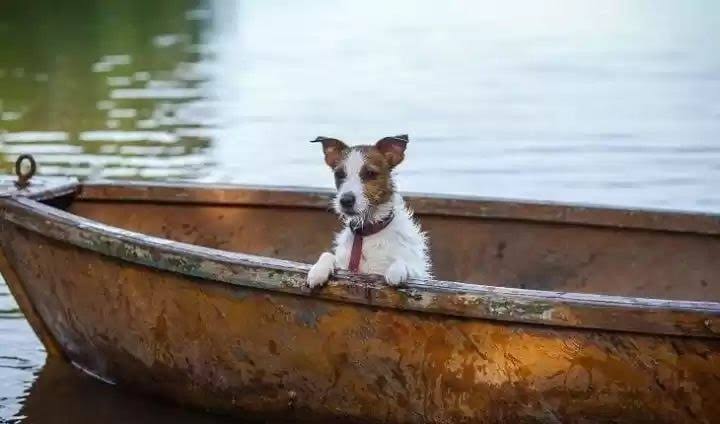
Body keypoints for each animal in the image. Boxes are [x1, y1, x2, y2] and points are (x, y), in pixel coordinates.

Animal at [306, 136, 430, 288]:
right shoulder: (344, 265)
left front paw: (397, 270)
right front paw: (318, 271)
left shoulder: (420, 275)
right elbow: (327, 255)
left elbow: (405, 264)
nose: (345, 200)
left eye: (370, 173)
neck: (365, 233)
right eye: (339, 174)